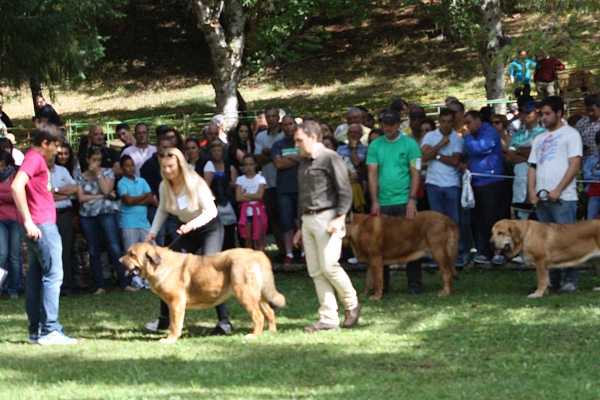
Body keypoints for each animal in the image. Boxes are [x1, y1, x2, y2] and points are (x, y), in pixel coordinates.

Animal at [119, 244, 286, 344]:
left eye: (132, 254)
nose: (120, 260)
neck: (158, 265)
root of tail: (256, 253)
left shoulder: (176, 303)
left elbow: (175, 324)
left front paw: (170, 339)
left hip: (244, 294)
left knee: (258, 316)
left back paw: (253, 335)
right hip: (259, 295)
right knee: (269, 312)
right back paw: (271, 331)